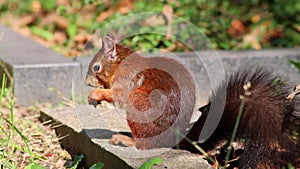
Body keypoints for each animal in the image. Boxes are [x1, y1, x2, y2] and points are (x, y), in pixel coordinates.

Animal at [85, 34, 298, 169]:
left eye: (96, 67)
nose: (86, 83)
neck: (121, 63)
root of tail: (175, 138)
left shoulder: (127, 78)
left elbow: (119, 95)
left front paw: (96, 95)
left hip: (139, 103)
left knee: (146, 144)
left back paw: (127, 140)